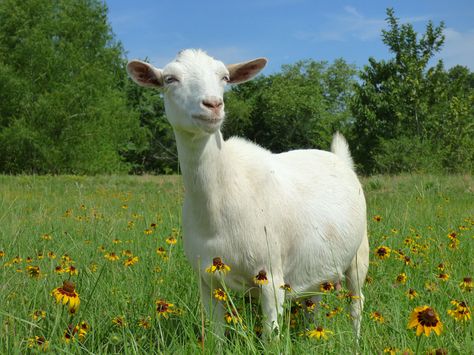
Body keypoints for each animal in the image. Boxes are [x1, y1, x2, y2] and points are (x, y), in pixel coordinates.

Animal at [127, 49, 370, 340]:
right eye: (170, 79)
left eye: (224, 77)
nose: (213, 105)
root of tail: (339, 158)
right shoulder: (206, 280)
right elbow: (217, 335)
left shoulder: (271, 277)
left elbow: (270, 337)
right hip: (318, 263)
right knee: (315, 301)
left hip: (360, 252)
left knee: (356, 303)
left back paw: (355, 341)